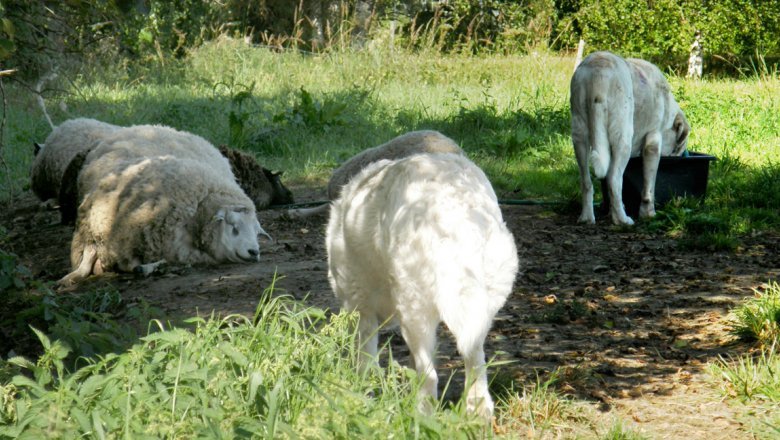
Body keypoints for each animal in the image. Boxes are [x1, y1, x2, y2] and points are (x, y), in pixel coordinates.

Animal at [326, 153, 520, 418]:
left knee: (429, 375)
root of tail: (455, 214)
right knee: (475, 360)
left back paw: (420, 414)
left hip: (414, 309)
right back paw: (478, 410)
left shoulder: (360, 305)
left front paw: (362, 391)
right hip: (482, 304)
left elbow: (366, 358)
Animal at [568, 49, 692, 225]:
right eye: (677, 149)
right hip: (623, 137)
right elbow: (649, 187)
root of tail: (598, 70)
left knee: (587, 182)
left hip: (579, 135)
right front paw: (648, 214)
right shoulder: (653, 141)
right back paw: (622, 220)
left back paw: (587, 218)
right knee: (613, 179)